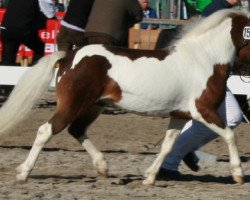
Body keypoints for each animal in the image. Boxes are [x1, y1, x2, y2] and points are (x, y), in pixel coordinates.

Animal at [0, 9, 250, 184]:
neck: (205, 59)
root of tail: (69, 57)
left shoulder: (180, 115)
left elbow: (167, 146)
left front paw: (149, 178)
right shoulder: (203, 110)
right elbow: (230, 135)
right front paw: (238, 174)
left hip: (94, 106)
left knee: (76, 130)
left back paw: (103, 167)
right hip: (73, 105)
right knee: (46, 131)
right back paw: (23, 173)